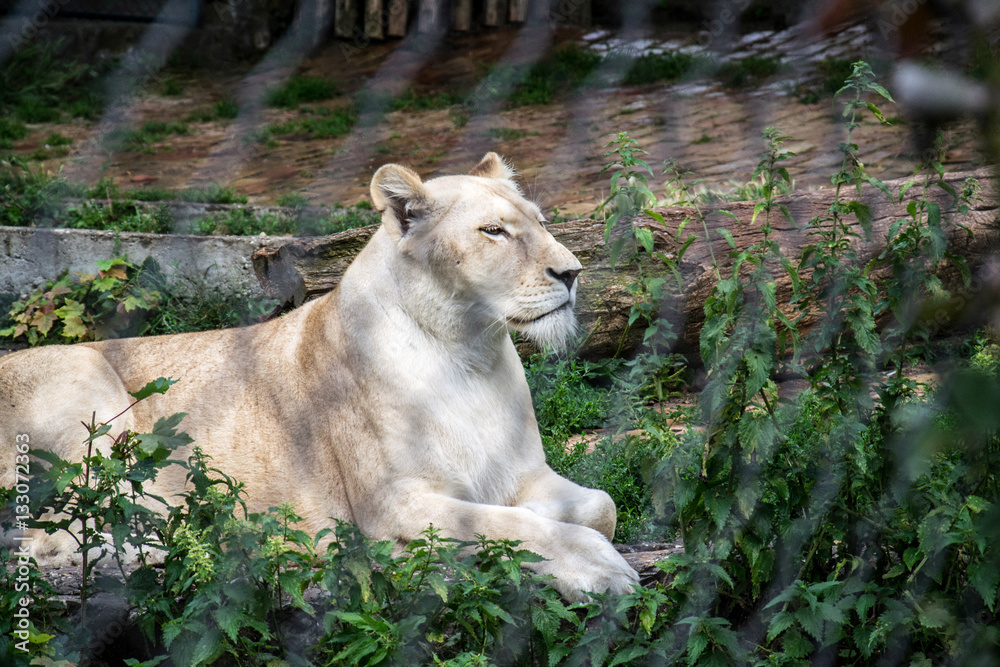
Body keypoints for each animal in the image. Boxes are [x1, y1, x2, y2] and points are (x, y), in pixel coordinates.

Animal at [0, 152, 639, 601]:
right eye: (493, 232)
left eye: (541, 221)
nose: (573, 272)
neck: (469, 351)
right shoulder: (394, 502)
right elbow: (514, 527)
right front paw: (598, 569)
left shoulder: (523, 474)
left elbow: (599, 505)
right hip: (83, 382)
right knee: (64, 535)